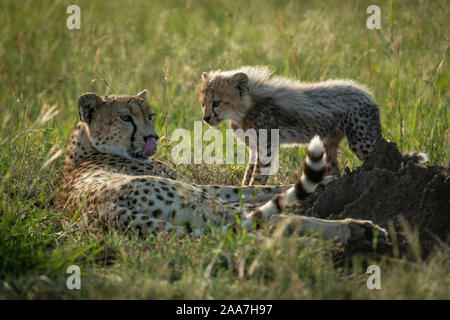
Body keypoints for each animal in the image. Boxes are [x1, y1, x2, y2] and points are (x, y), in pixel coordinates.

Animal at [54, 90, 388, 250]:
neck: (86, 149)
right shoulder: (201, 188)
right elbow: (253, 189)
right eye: (125, 117)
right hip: (199, 202)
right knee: (270, 220)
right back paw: (354, 229)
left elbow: (254, 190)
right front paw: (327, 182)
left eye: (149, 115)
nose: (152, 138)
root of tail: (105, 210)